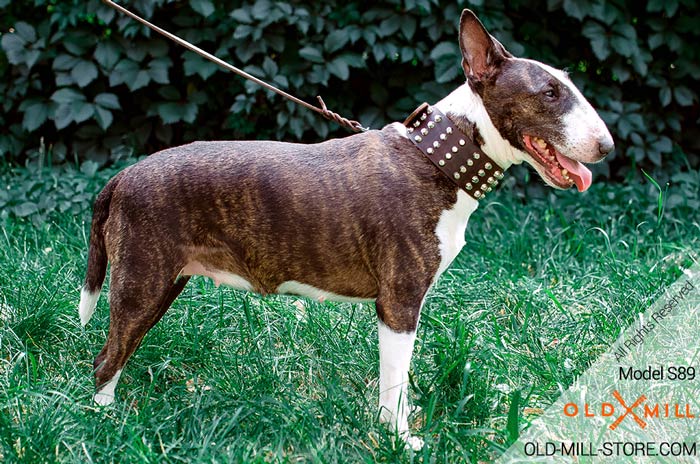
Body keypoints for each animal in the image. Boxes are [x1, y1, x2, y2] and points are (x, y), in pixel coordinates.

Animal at [79, 8, 608, 450]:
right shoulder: (398, 305)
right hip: (143, 282)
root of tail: (123, 175)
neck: (437, 157)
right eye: (549, 94)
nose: (607, 146)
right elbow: (394, 384)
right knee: (105, 359)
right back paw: (107, 424)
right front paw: (400, 441)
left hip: (164, 282)